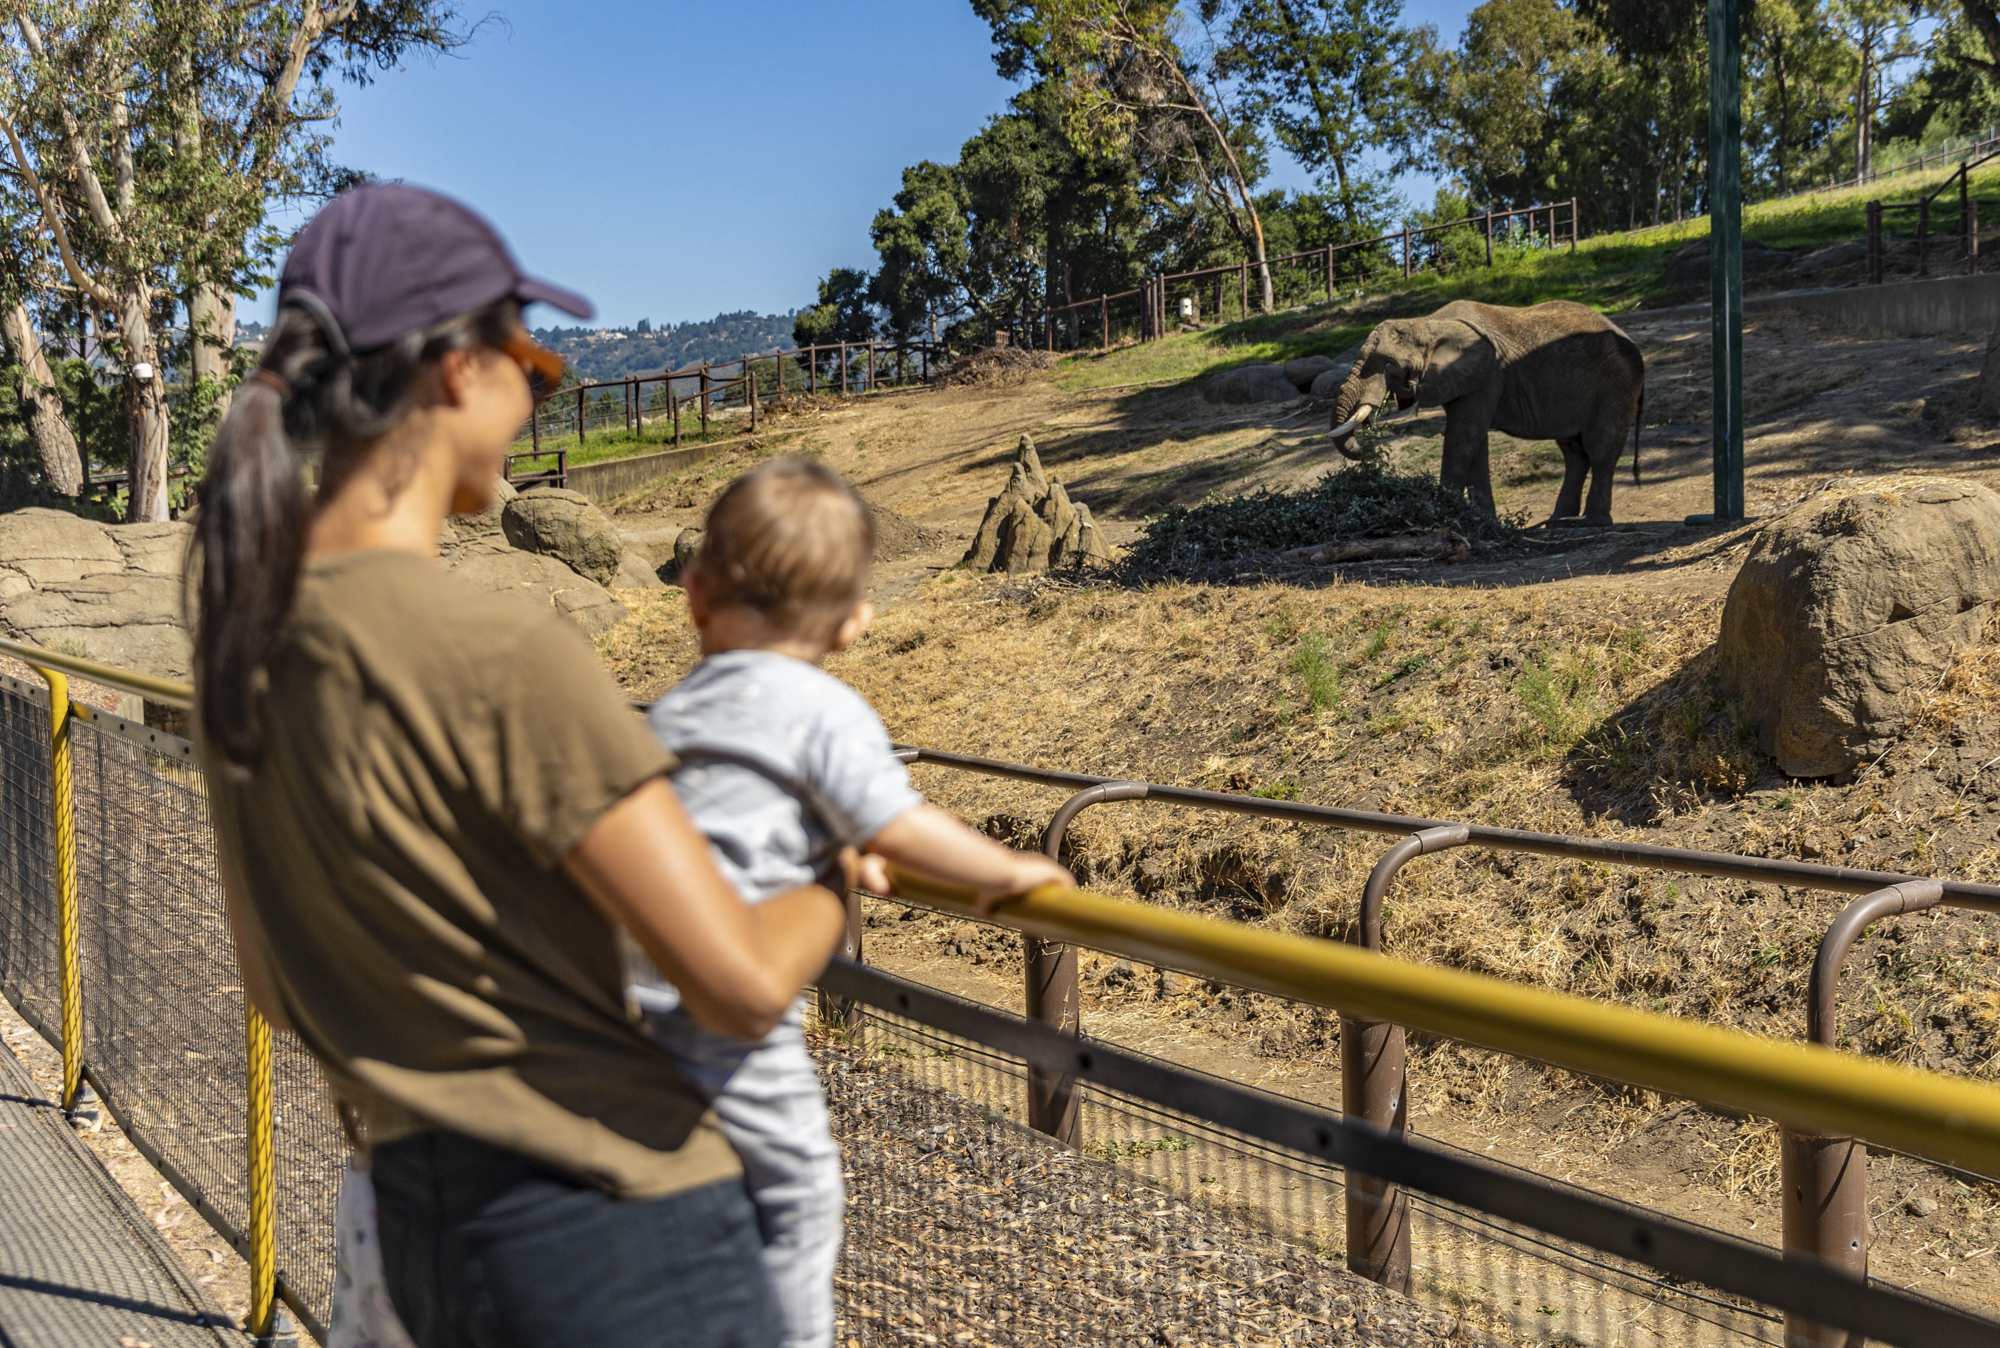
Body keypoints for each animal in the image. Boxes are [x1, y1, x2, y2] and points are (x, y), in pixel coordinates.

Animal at [1328, 300, 1640, 524]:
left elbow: (1462, 439)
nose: (1368, 444)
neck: (1428, 323)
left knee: (1600, 448)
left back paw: (1593, 522)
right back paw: (1558, 521)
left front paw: (1445, 516)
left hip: (1615, 384)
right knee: (1574, 451)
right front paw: (1483, 522)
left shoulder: (1486, 375)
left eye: (1388, 364)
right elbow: (1475, 443)